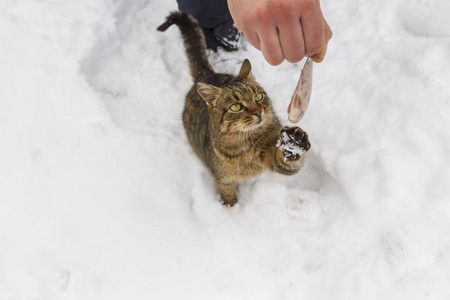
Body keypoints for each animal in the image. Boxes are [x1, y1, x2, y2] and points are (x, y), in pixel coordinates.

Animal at [157, 10, 310, 205]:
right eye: (236, 107)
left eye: (258, 96)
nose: (258, 111)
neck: (247, 144)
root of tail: (207, 75)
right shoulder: (224, 179)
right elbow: (228, 196)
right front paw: (231, 209)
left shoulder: (273, 153)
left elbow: (286, 161)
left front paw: (293, 144)